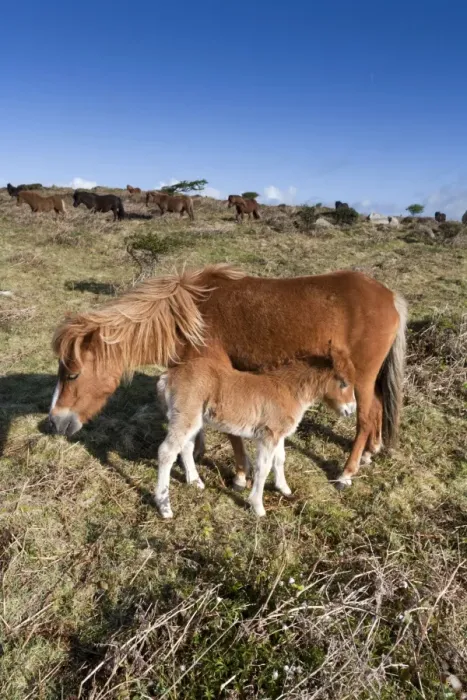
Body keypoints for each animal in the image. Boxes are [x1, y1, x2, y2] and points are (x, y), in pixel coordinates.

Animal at [48, 264, 407, 493]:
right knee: (376, 409)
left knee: (365, 417)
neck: (188, 316)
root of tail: (390, 296)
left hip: (360, 380)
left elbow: (232, 432)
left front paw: (239, 475)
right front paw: (198, 457)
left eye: (73, 374)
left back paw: (347, 473)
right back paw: (371, 452)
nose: (56, 422)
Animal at [155, 353, 356, 517]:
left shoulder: (278, 434)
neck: (289, 391)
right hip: (185, 415)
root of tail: (168, 376)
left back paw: (195, 482)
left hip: (193, 419)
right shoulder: (268, 435)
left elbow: (280, 460)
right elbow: (263, 468)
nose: (351, 410)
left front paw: (284, 489)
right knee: (167, 452)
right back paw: (164, 506)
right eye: (344, 383)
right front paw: (257, 507)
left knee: (185, 447)